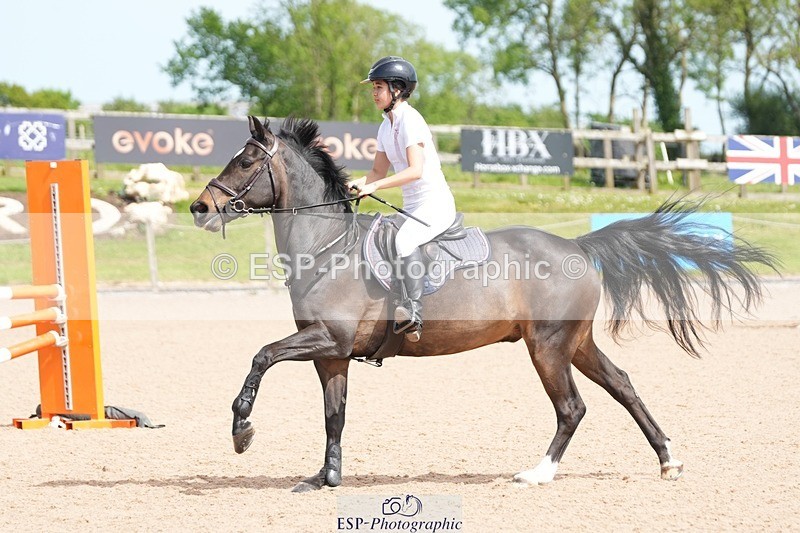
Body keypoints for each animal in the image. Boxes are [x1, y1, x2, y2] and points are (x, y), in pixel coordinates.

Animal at [190, 116, 778, 492]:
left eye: (246, 160)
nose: (199, 208)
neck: (327, 248)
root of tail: (578, 247)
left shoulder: (324, 339)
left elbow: (261, 356)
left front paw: (242, 431)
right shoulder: (331, 354)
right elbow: (334, 415)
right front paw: (325, 478)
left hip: (547, 347)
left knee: (572, 408)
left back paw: (538, 474)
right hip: (576, 343)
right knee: (624, 386)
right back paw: (668, 460)